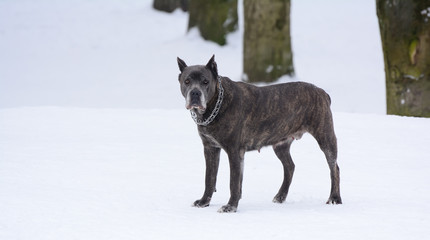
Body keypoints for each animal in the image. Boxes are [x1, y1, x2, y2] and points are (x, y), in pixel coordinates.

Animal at [176, 54, 340, 212]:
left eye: (205, 82)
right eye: (187, 81)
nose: (195, 93)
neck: (216, 104)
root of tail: (322, 92)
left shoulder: (234, 151)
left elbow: (233, 182)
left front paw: (230, 206)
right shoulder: (210, 148)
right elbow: (209, 178)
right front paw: (204, 202)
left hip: (325, 137)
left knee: (334, 168)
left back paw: (334, 198)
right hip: (280, 144)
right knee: (290, 166)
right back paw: (280, 196)